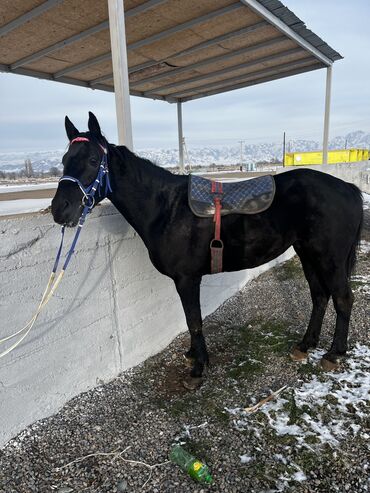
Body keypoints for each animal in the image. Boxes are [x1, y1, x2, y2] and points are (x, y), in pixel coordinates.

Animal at [50, 113, 362, 390]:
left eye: (93, 160)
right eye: (64, 160)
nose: (59, 209)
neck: (166, 208)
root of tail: (348, 188)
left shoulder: (187, 279)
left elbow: (194, 320)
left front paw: (198, 369)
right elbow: (191, 320)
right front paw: (193, 356)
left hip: (329, 259)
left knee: (343, 299)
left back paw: (334, 353)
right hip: (308, 254)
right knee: (319, 297)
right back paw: (305, 345)